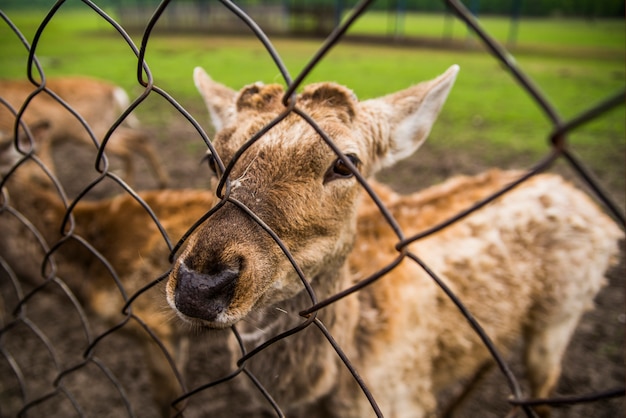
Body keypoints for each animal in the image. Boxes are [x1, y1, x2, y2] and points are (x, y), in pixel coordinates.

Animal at [0, 76, 169, 189]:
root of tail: (113, 90)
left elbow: (45, 174)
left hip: (90, 131)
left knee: (126, 149)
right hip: (104, 125)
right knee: (139, 138)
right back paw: (161, 182)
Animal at [163, 67, 620, 416]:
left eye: (345, 164)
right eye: (213, 159)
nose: (199, 285)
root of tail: (595, 208)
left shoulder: (402, 399)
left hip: (563, 314)